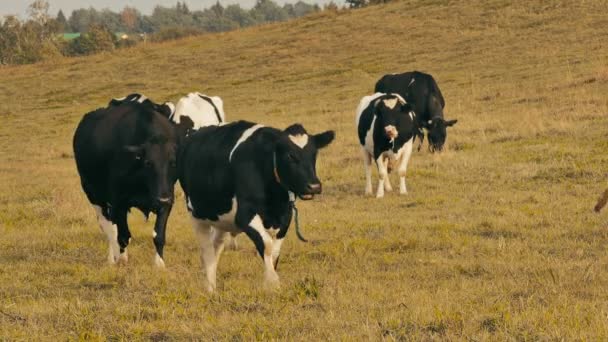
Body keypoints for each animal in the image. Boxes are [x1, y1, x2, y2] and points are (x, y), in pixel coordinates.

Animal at [73, 101, 178, 268]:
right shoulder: (118, 202)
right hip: (93, 195)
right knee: (109, 228)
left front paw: (160, 264)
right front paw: (122, 260)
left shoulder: (167, 199)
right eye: (148, 163)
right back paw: (113, 258)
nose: (163, 198)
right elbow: (122, 236)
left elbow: (159, 235)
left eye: (173, 163)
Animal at [178, 120, 334, 292]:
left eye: (314, 154)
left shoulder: (286, 216)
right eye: (290, 155)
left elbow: (275, 252)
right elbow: (266, 245)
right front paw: (273, 283)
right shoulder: (245, 215)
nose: (314, 186)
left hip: (222, 219)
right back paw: (210, 289)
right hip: (196, 215)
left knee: (216, 247)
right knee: (207, 251)